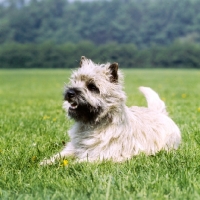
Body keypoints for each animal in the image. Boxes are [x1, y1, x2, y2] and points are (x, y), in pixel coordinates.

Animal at [39, 55, 180, 164]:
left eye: (92, 87)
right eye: (75, 81)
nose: (70, 93)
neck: (93, 125)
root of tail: (159, 112)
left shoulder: (105, 155)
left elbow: (80, 162)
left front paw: (67, 165)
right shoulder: (73, 148)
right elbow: (60, 155)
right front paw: (45, 163)